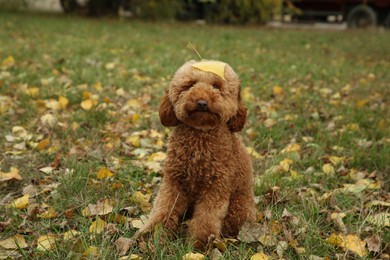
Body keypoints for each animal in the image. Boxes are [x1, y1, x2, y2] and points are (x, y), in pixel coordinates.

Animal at [138, 60, 256, 249]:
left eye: (216, 86)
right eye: (190, 85)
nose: (201, 102)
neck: (200, 135)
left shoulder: (215, 188)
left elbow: (206, 219)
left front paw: (200, 244)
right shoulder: (173, 182)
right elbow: (163, 208)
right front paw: (154, 234)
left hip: (239, 208)